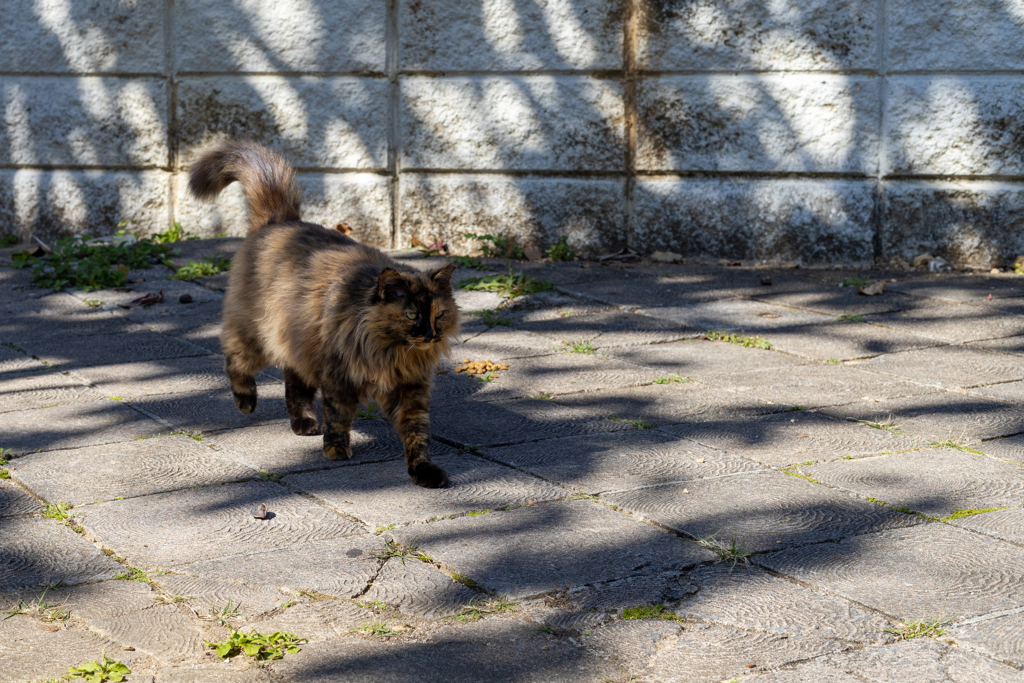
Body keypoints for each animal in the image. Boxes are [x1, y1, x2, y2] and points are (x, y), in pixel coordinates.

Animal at [189, 141, 460, 489]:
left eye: (439, 315)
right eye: (412, 315)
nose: (431, 334)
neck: (391, 353)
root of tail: (280, 221)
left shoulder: (410, 389)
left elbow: (417, 435)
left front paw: (424, 471)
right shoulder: (338, 376)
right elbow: (337, 416)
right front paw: (336, 450)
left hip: (298, 345)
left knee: (295, 384)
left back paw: (303, 423)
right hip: (256, 336)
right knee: (235, 360)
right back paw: (246, 402)